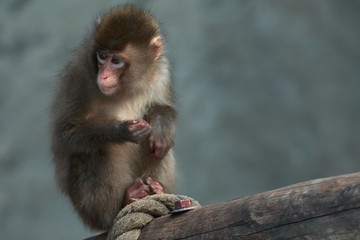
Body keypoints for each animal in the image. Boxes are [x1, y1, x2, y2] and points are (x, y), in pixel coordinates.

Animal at [50, 6, 176, 231]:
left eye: (116, 61)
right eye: (102, 57)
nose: (104, 76)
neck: (129, 84)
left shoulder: (162, 72)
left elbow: (162, 109)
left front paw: (161, 128)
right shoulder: (80, 72)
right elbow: (66, 132)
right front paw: (123, 130)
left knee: (158, 150)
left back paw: (157, 189)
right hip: (88, 209)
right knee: (96, 151)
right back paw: (123, 202)